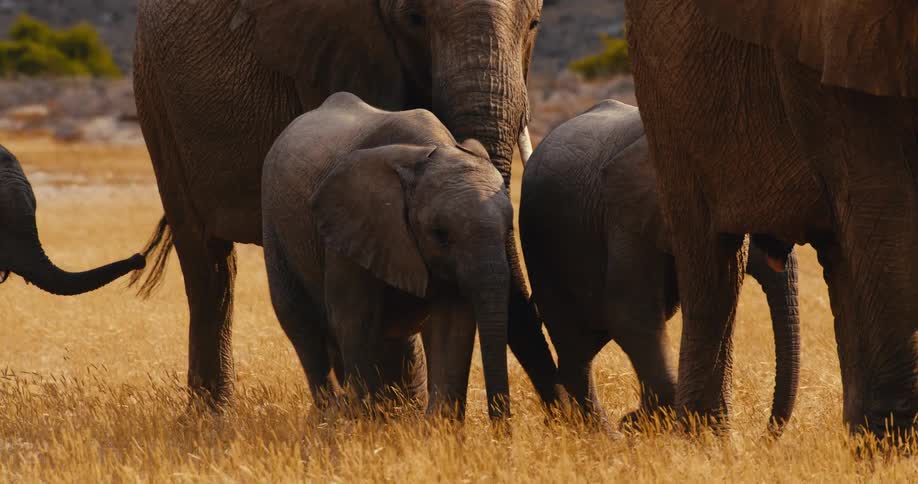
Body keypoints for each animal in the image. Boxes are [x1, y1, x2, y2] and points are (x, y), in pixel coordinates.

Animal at [262, 92, 514, 419]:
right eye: (440, 233)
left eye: (509, 228)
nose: (502, 427)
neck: (429, 152)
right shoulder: (351, 222)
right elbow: (354, 317)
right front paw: (364, 422)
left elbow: (452, 322)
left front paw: (438, 425)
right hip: (275, 222)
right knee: (300, 321)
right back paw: (331, 415)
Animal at [519, 100, 800, 431]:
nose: (765, 435)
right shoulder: (624, 216)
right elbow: (632, 314)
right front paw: (638, 424)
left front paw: (641, 421)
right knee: (575, 345)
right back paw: (602, 434)